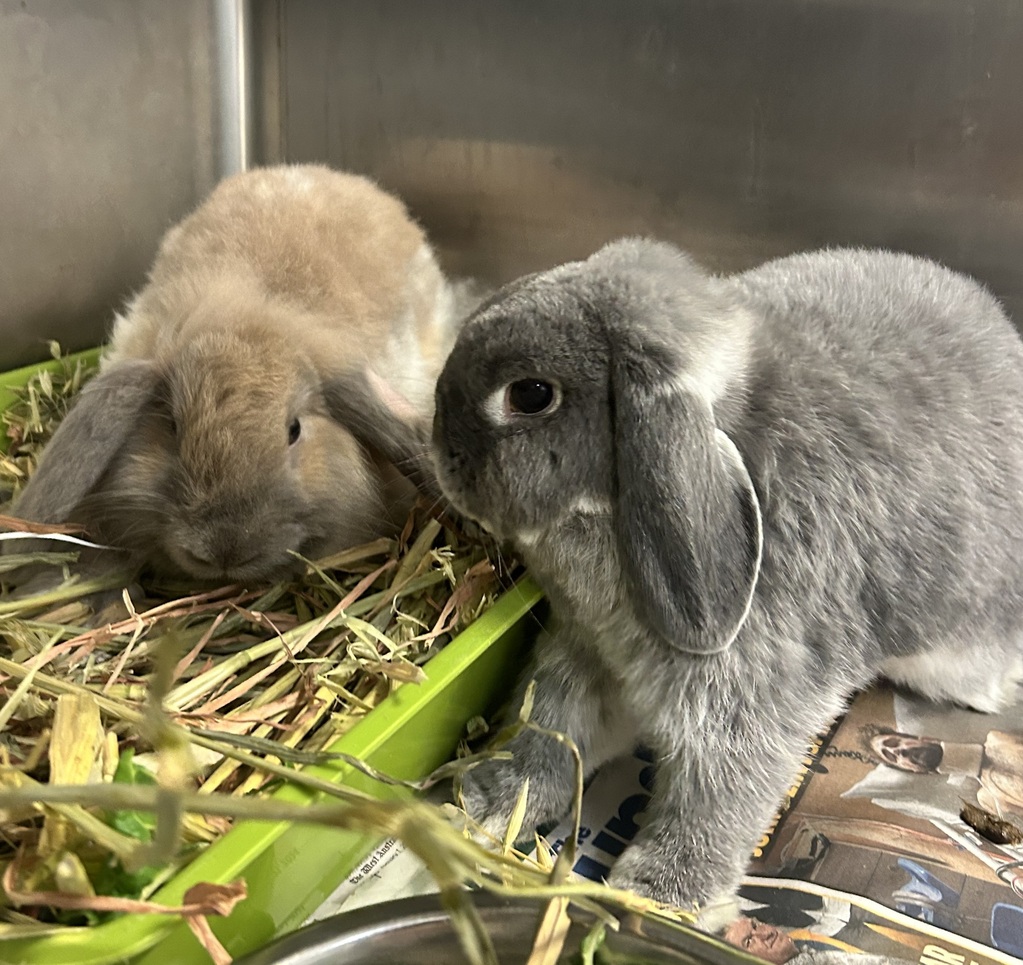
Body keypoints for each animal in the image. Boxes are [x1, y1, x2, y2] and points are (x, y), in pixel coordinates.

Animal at [422, 238, 1023, 912]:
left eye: (529, 395)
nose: (440, 454)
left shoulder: (749, 703)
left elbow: (719, 795)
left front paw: (660, 895)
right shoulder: (582, 653)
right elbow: (553, 729)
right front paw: (491, 800)